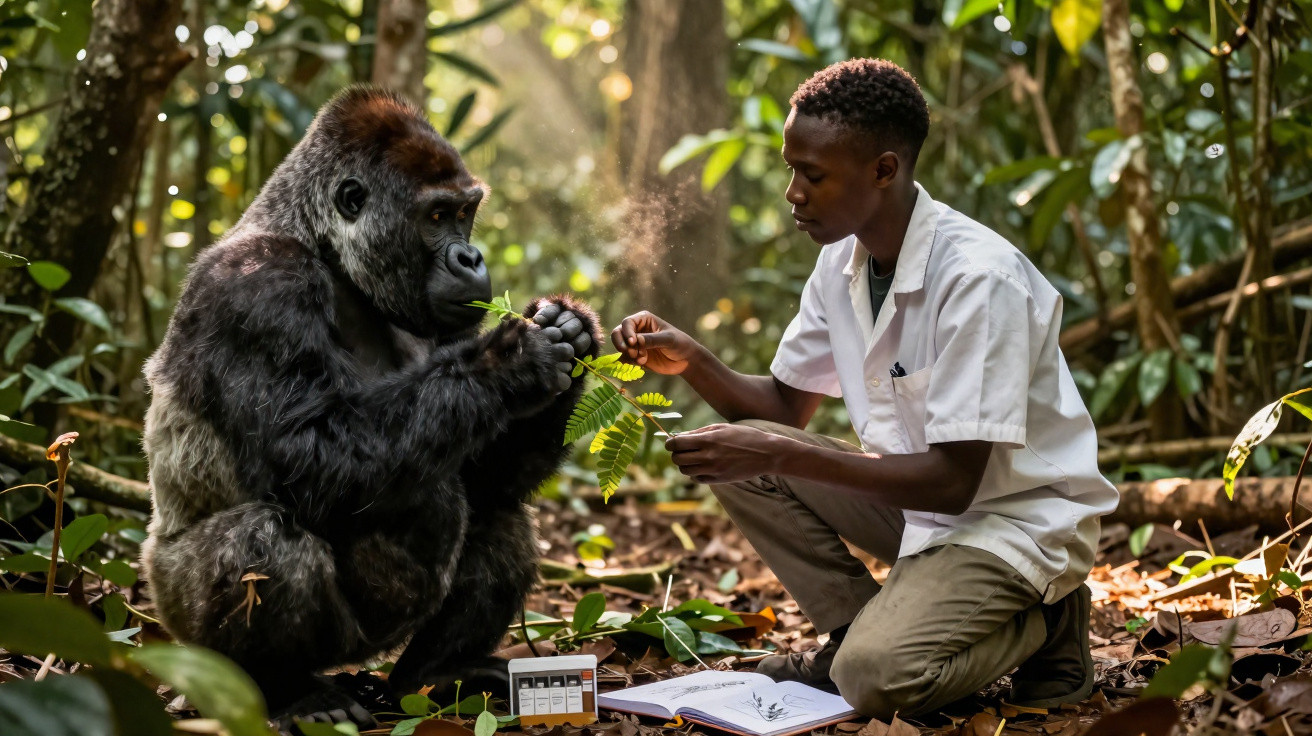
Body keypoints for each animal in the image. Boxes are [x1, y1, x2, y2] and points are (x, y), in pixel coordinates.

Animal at [139, 86, 599, 730]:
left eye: (466, 213)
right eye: (437, 217)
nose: (472, 257)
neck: (324, 249)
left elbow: (484, 476)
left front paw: (569, 333)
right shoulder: (256, 286)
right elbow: (309, 453)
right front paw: (509, 360)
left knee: (501, 516)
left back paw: (434, 675)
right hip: (180, 616)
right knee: (261, 540)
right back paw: (290, 691)